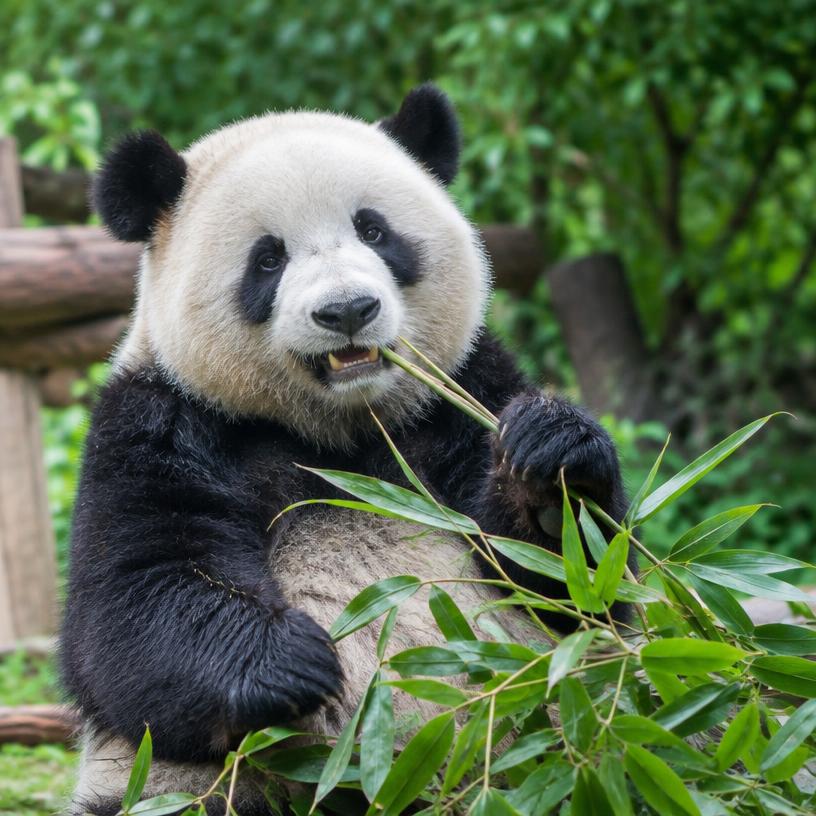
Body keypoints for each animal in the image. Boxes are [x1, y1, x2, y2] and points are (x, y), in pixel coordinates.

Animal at [60, 85, 630, 815]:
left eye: (374, 231)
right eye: (268, 259)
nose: (348, 311)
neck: (341, 428)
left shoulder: (461, 387)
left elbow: (570, 584)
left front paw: (550, 457)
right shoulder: (157, 421)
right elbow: (130, 606)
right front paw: (295, 662)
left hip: (571, 740)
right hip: (187, 786)